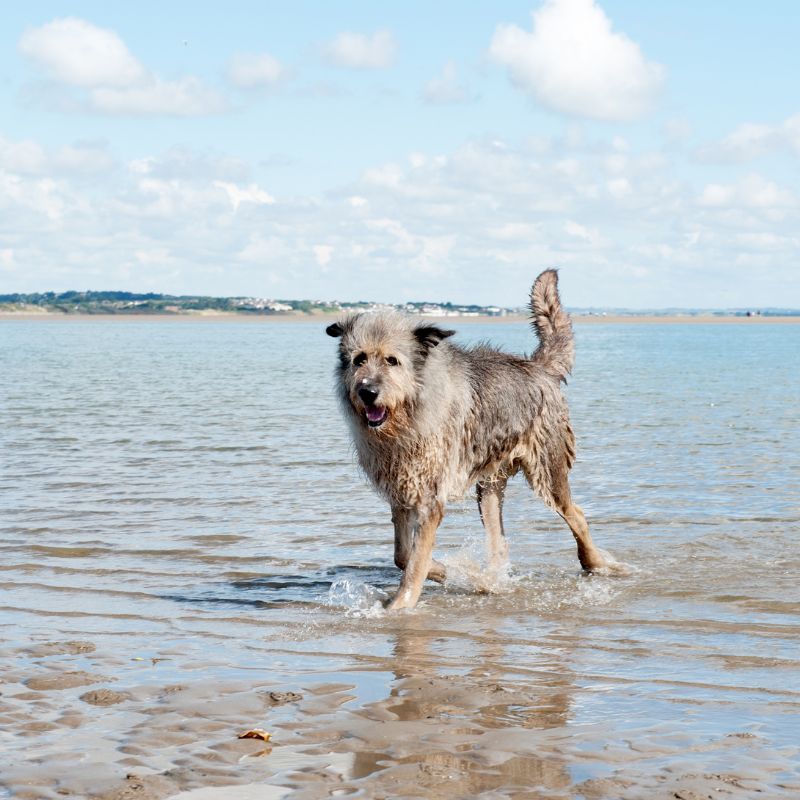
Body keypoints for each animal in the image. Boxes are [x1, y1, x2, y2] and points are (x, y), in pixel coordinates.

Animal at [324, 270, 608, 612]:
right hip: (489, 489)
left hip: (548, 470)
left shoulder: (430, 498)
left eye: (392, 360)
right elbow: (404, 556)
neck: (410, 414)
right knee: (499, 544)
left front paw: (401, 606)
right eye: (359, 359)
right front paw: (454, 573)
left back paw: (595, 564)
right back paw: (489, 581)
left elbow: (414, 561)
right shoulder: (402, 493)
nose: (367, 391)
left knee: (576, 514)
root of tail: (538, 367)